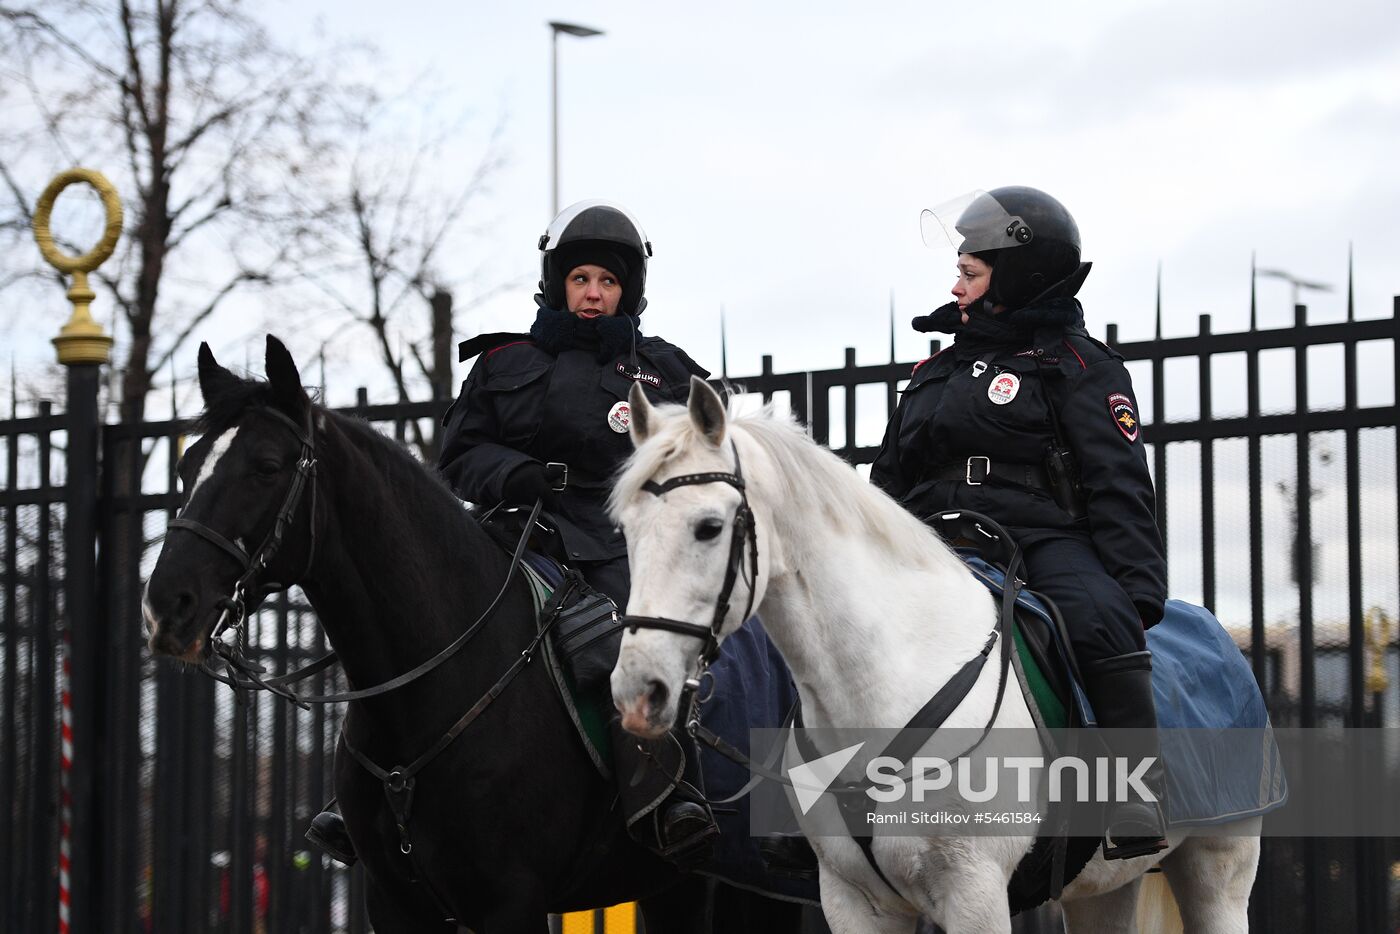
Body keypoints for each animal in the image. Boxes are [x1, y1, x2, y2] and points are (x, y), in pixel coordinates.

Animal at [607, 380, 1265, 934]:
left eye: (708, 526)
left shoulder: (975, 897)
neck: (884, 683)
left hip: (1219, 868)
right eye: (627, 531)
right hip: (1105, 888)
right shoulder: (853, 903)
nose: (638, 690)